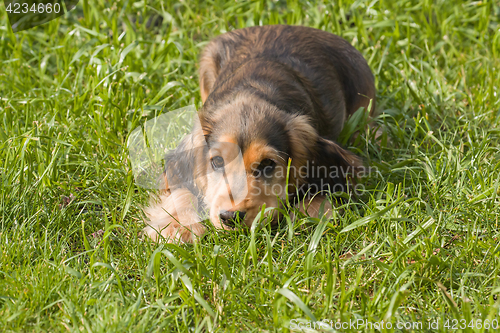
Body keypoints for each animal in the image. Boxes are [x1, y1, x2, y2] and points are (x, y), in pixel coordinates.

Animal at [143, 24, 374, 241]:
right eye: (217, 161)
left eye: (267, 164)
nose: (230, 217)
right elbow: (182, 188)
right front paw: (179, 226)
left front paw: (306, 214)